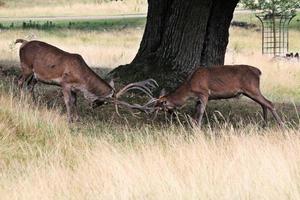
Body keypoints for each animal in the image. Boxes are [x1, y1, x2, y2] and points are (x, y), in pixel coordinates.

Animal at [15, 38, 157, 122]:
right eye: (105, 102)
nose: (93, 106)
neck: (82, 80)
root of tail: (23, 43)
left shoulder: (74, 88)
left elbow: (75, 101)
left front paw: (77, 118)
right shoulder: (65, 83)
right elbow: (68, 102)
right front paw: (69, 120)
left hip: (35, 75)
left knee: (30, 85)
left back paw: (34, 105)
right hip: (26, 67)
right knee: (20, 81)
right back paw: (21, 102)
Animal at [151, 65, 284, 127]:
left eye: (160, 106)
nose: (151, 114)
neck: (189, 87)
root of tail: (258, 72)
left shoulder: (204, 93)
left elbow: (200, 111)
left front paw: (197, 127)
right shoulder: (198, 98)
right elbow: (196, 111)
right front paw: (193, 124)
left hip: (252, 88)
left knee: (269, 103)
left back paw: (281, 125)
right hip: (250, 91)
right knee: (264, 104)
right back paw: (264, 125)